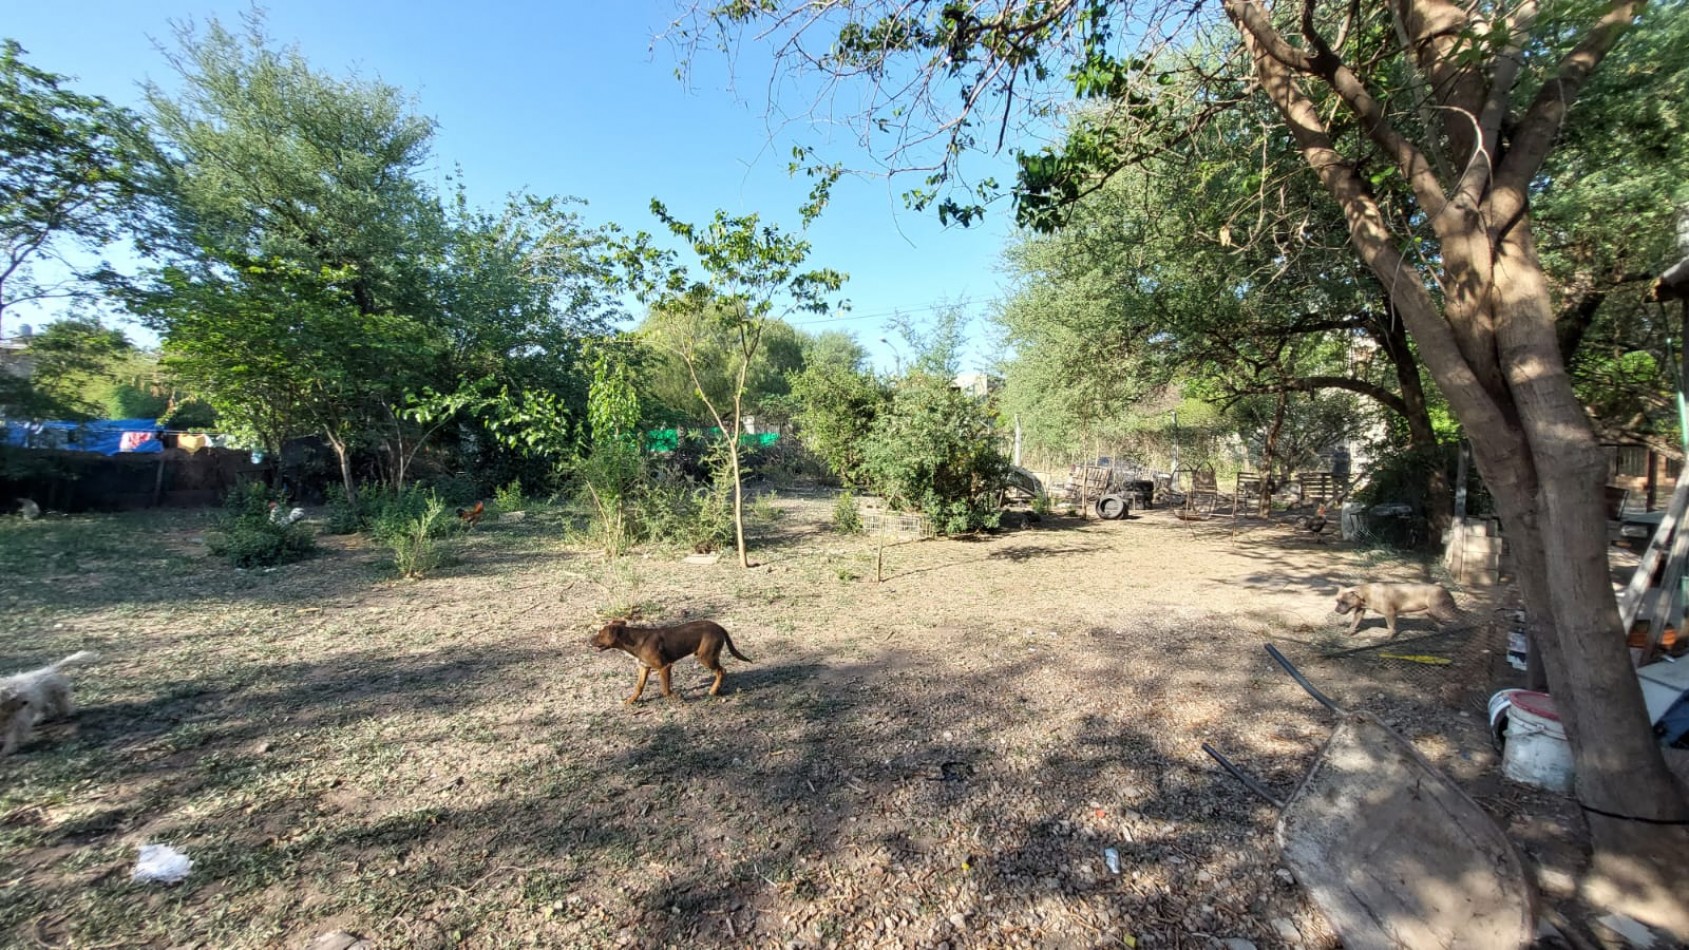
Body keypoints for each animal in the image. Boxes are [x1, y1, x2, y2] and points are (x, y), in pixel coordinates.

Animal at [594, 618, 753, 699]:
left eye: (600, 634)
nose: (589, 641)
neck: (635, 641)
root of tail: (719, 626)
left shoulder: (665, 667)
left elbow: (665, 689)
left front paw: (674, 697)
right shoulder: (644, 667)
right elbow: (638, 687)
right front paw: (630, 701)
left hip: (705, 657)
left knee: (722, 671)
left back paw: (713, 691)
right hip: (705, 655)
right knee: (721, 670)